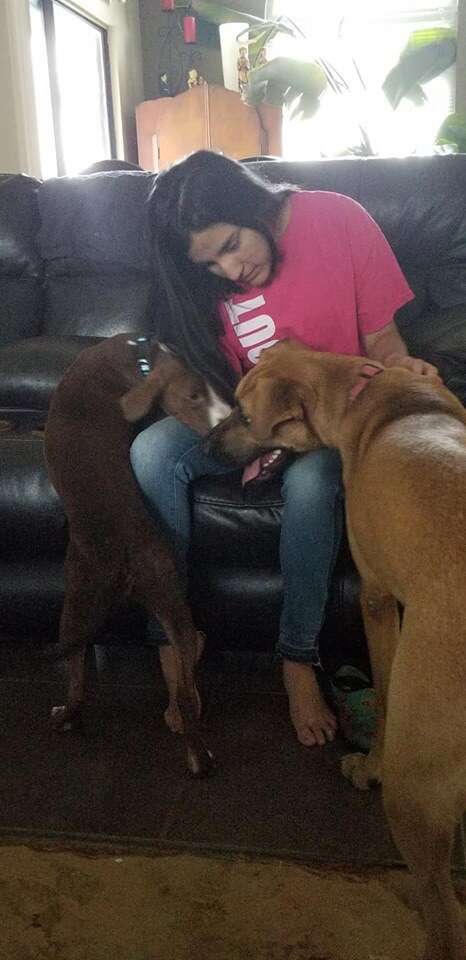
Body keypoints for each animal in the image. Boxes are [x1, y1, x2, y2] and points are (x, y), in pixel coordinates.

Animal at [44, 334, 230, 776]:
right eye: (194, 396)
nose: (226, 422)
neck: (141, 356)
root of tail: (121, 565)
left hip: (81, 601)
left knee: (82, 683)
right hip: (153, 594)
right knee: (182, 676)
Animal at [208, 340, 466, 960]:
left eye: (244, 415)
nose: (204, 447)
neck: (361, 393)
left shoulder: (376, 598)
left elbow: (388, 694)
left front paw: (369, 767)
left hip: (416, 786)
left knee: (446, 917)